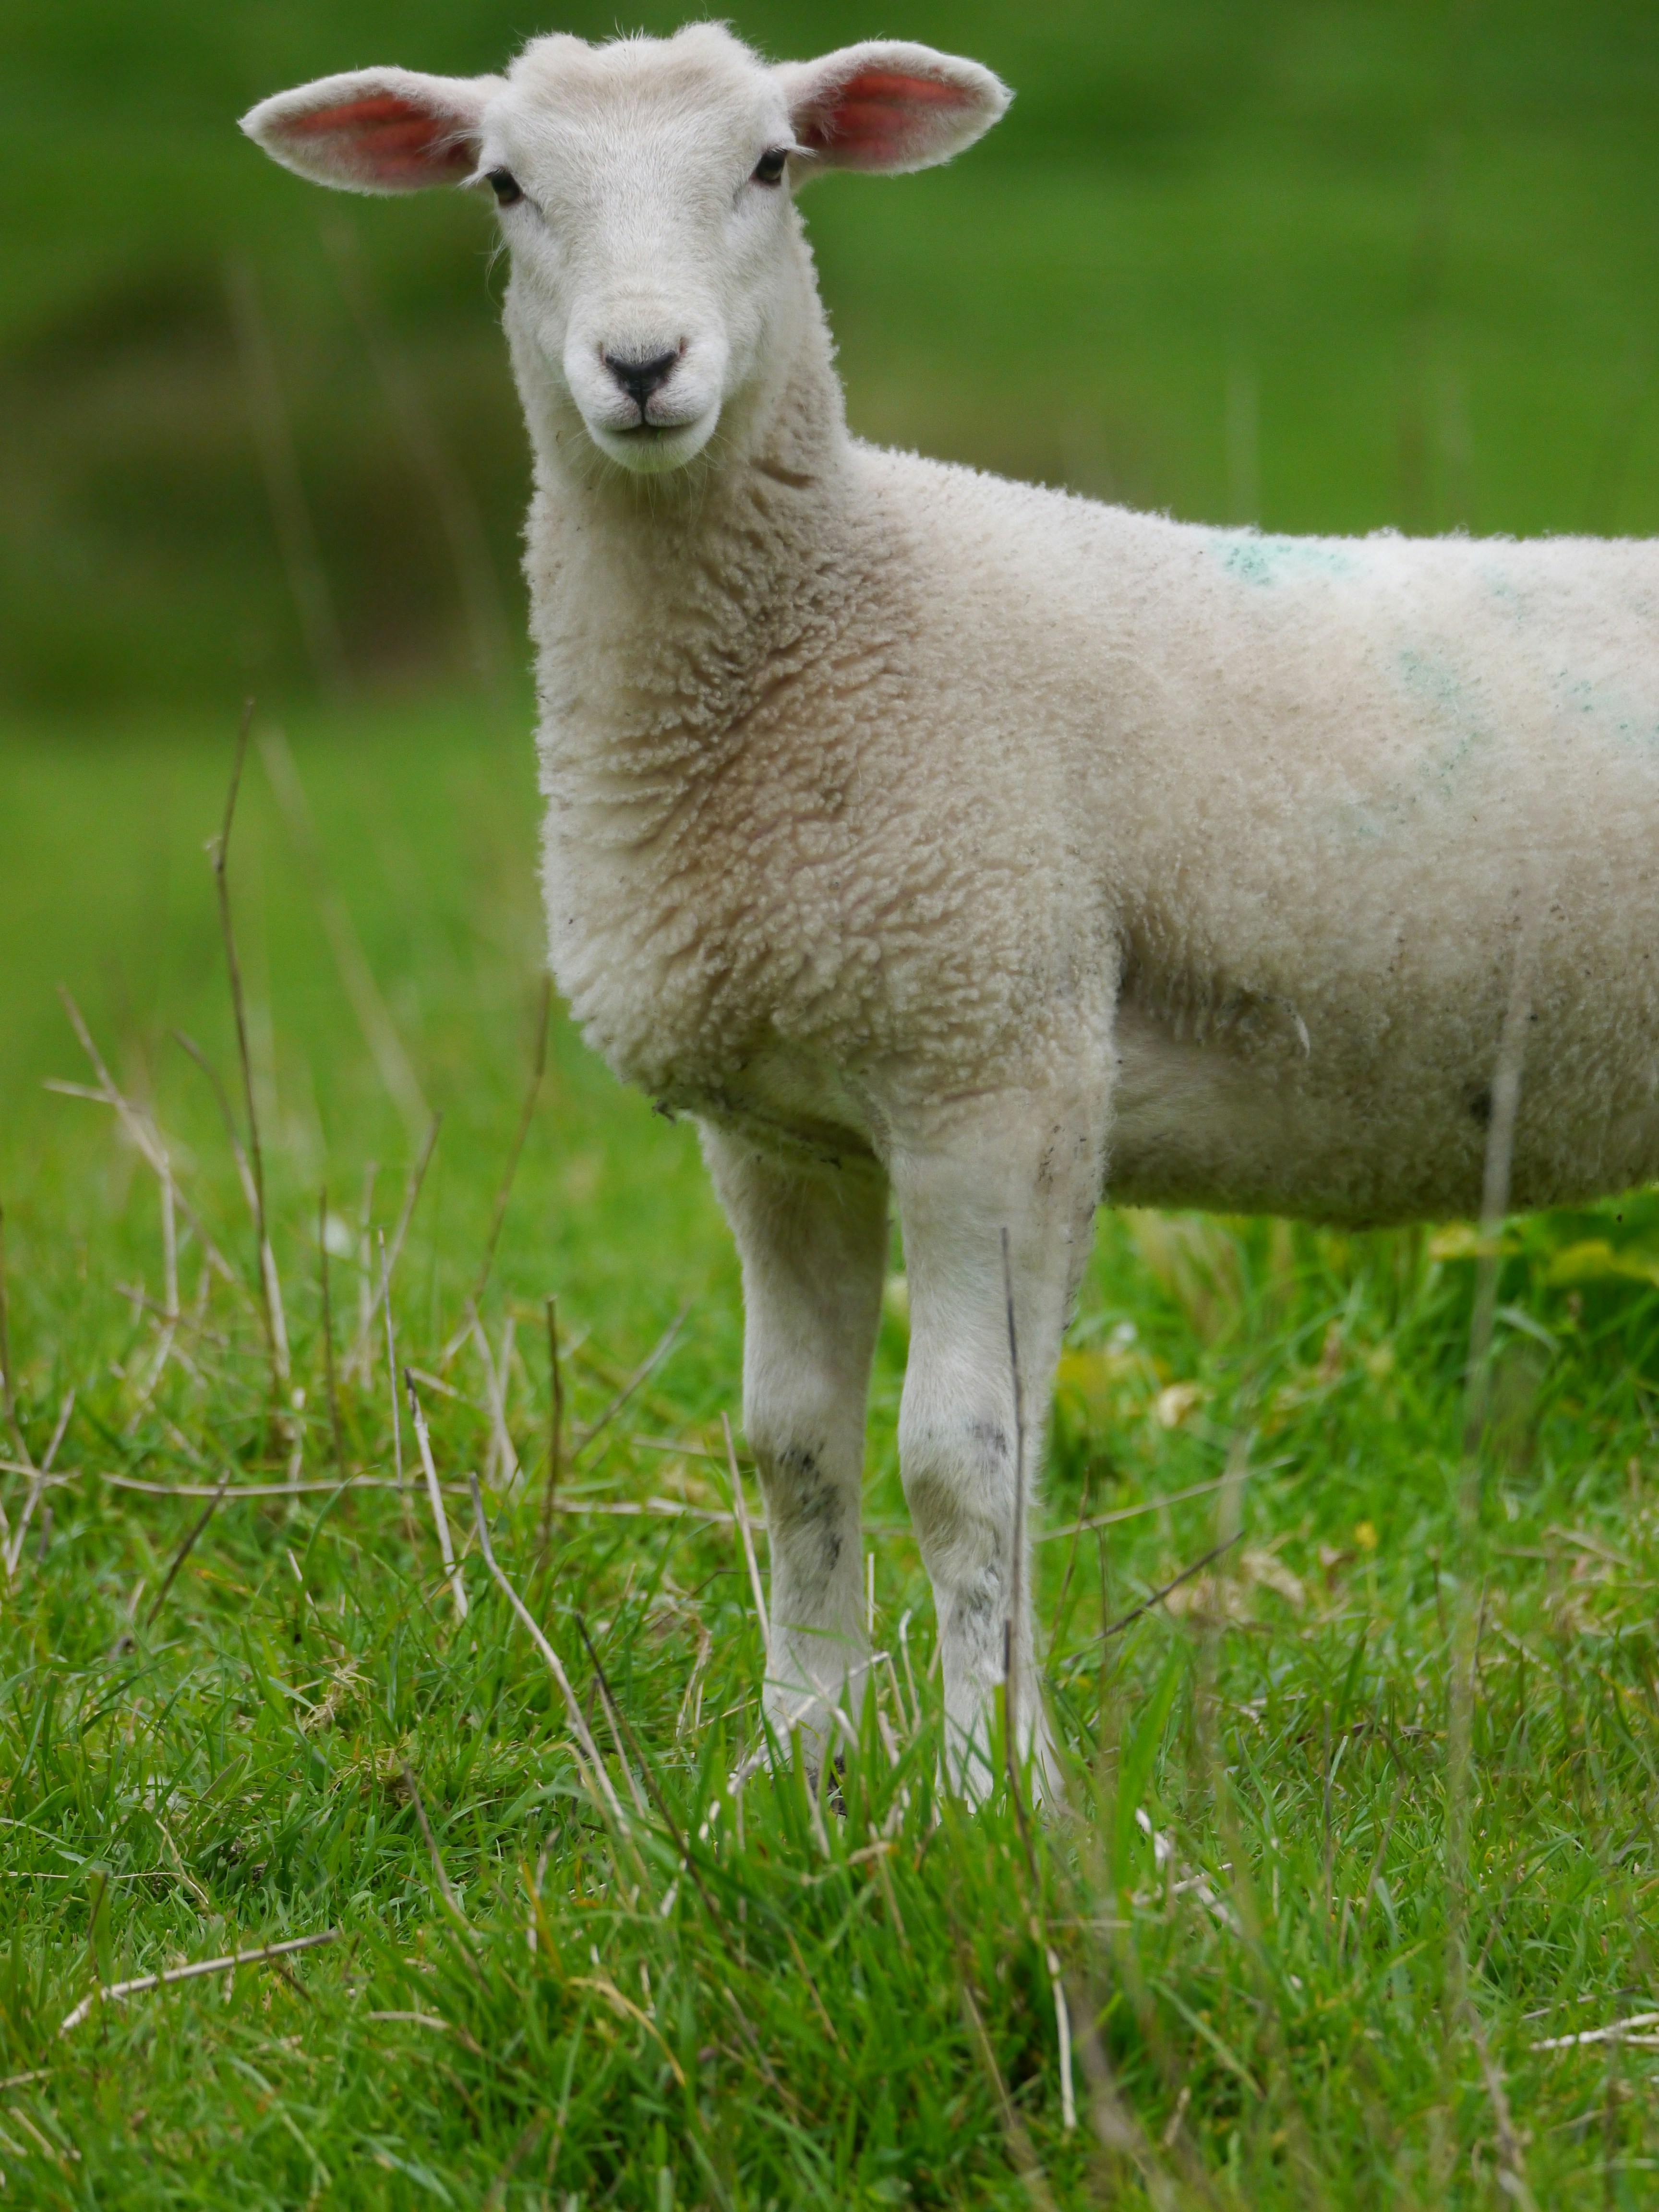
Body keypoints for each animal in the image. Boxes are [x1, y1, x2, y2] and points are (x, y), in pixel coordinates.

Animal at [245, 25, 1659, 1798]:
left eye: (772, 163)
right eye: (505, 186)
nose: (641, 366)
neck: (827, 620)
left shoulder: (991, 1059)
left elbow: (961, 1457)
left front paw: (987, 1786)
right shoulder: (780, 1126)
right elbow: (790, 1444)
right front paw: (794, 1762)